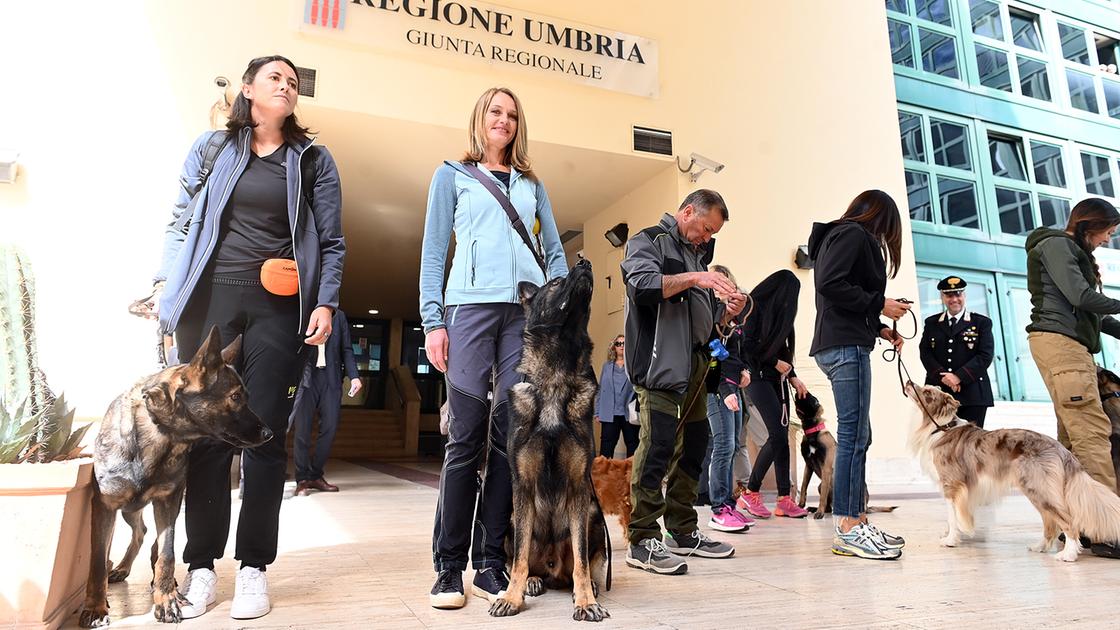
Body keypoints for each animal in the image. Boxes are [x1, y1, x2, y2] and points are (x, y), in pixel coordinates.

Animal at [79, 325, 273, 623]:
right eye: (235, 397)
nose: (269, 434)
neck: (161, 434)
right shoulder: (105, 506)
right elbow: (98, 560)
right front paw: (96, 607)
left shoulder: (168, 502)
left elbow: (167, 554)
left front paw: (166, 598)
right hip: (125, 510)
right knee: (135, 534)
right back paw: (121, 568)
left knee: (146, 537)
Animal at [490, 257, 609, 618]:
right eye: (555, 282)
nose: (584, 261)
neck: (556, 378)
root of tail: (554, 568)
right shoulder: (523, 487)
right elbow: (518, 559)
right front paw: (511, 596)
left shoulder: (579, 487)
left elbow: (582, 559)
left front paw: (586, 600)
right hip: (513, 518)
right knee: (526, 559)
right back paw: (532, 581)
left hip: (593, 515)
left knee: (583, 562)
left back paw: (588, 585)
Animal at [904, 376, 1120, 558]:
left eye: (927, 393)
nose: (907, 381)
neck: (940, 427)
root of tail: (1061, 449)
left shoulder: (951, 484)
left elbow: (952, 516)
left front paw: (950, 540)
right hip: (1037, 491)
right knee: (1050, 523)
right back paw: (1040, 547)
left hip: (1039, 489)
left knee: (1067, 521)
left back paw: (1068, 554)